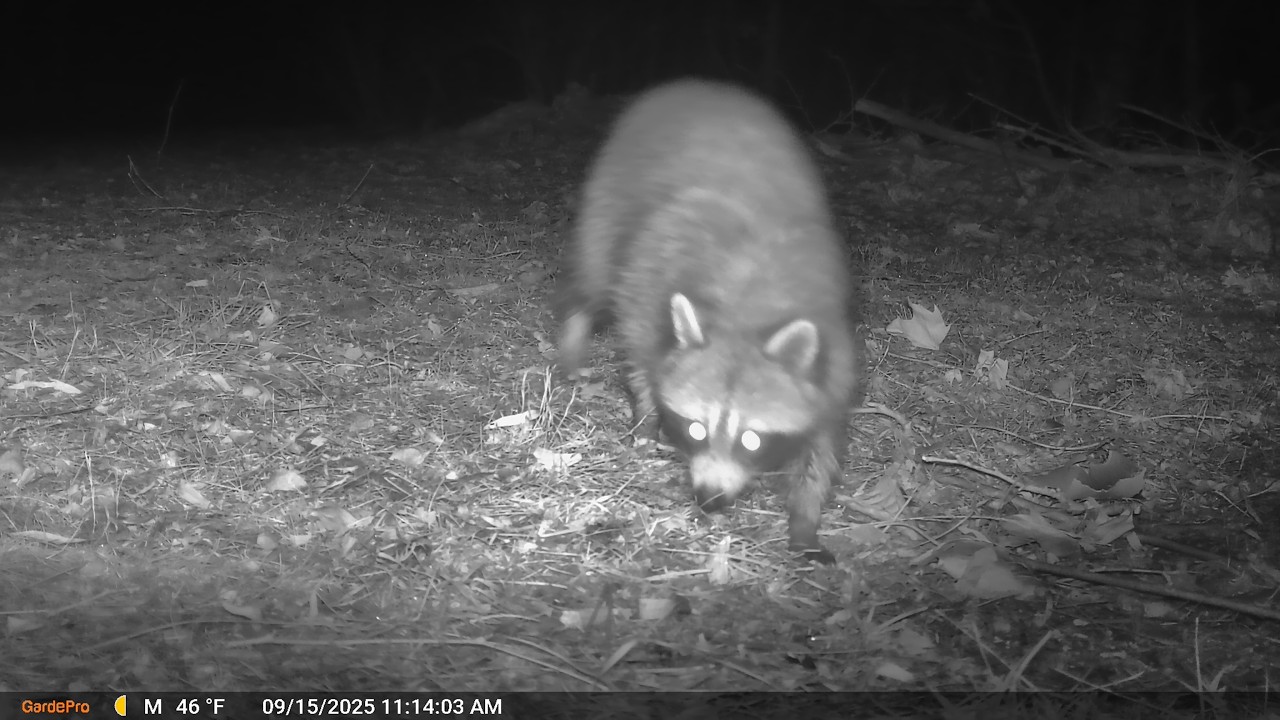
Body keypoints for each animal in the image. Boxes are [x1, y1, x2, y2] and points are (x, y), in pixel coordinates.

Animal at [557, 79, 862, 562]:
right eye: (696, 429)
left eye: (753, 439)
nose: (709, 499)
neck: (744, 313)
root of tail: (700, 86)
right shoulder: (647, 286)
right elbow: (641, 356)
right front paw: (647, 417)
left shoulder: (832, 345)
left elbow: (821, 443)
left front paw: (806, 516)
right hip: (608, 198)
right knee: (592, 278)